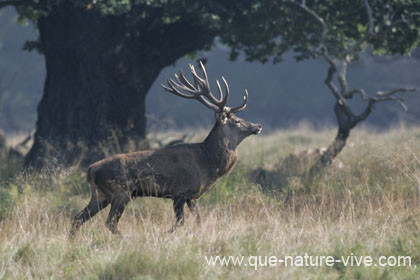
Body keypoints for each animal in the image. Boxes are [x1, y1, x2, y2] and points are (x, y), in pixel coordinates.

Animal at [71, 63, 262, 234]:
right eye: (237, 120)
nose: (258, 125)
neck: (207, 163)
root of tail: (91, 169)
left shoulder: (192, 196)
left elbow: (199, 221)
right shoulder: (180, 191)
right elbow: (180, 222)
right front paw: (163, 234)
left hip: (100, 194)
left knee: (78, 218)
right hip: (120, 191)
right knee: (110, 222)